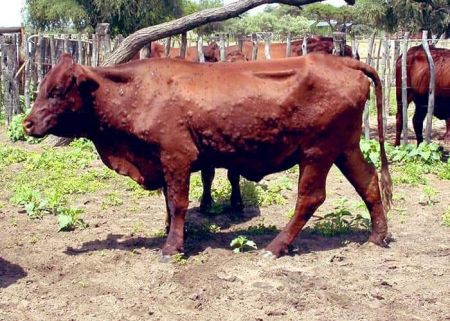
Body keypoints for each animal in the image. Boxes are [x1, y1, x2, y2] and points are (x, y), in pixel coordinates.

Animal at [23, 52, 390, 258]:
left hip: (317, 154)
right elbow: (169, 202)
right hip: (344, 149)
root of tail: (344, 62)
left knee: (310, 198)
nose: (27, 123)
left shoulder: (177, 156)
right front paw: (172, 235)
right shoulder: (165, 162)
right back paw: (376, 238)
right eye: (42, 88)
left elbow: (178, 202)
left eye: (57, 91)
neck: (138, 91)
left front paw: (171, 247)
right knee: (369, 183)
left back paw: (275, 248)